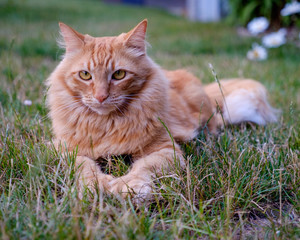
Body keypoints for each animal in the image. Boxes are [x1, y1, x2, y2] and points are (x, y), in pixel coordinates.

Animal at [47, 20, 278, 201]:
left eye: (119, 74)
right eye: (85, 75)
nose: (101, 97)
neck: (107, 124)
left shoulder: (165, 150)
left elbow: (143, 167)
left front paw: (128, 186)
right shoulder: (64, 148)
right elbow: (84, 167)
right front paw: (94, 186)